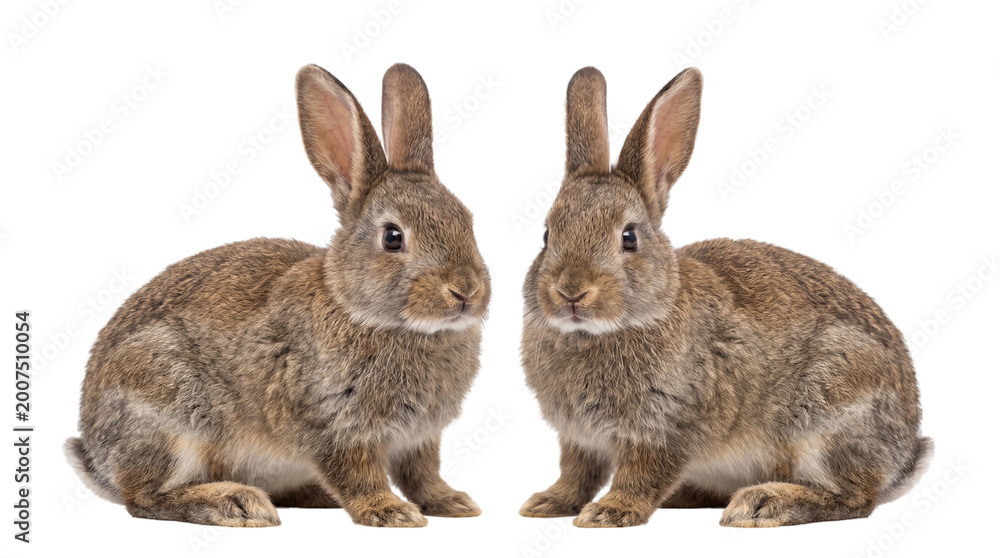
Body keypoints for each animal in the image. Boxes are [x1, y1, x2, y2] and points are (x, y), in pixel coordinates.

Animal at [65, 63, 490, 528]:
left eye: (466, 220)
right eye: (393, 238)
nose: (466, 291)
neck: (361, 310)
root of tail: (97, 458)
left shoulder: (421, 439)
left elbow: (422, 473)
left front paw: (452, 503)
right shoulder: (331, 426)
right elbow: (357, 474)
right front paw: (389, 512)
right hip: (171, 414)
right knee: (143, 499)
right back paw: (235, 503)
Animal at [518, 66, 932, 528]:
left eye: (629, 237)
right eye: (547, 234)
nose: (570, 291)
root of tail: (903, 456)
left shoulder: (667, 429)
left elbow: (642, 474)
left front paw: (610, 512)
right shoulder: (579, 439)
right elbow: (577, 473)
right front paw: (548, 503)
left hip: (827, 415)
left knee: (855, 498)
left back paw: (763, 503)